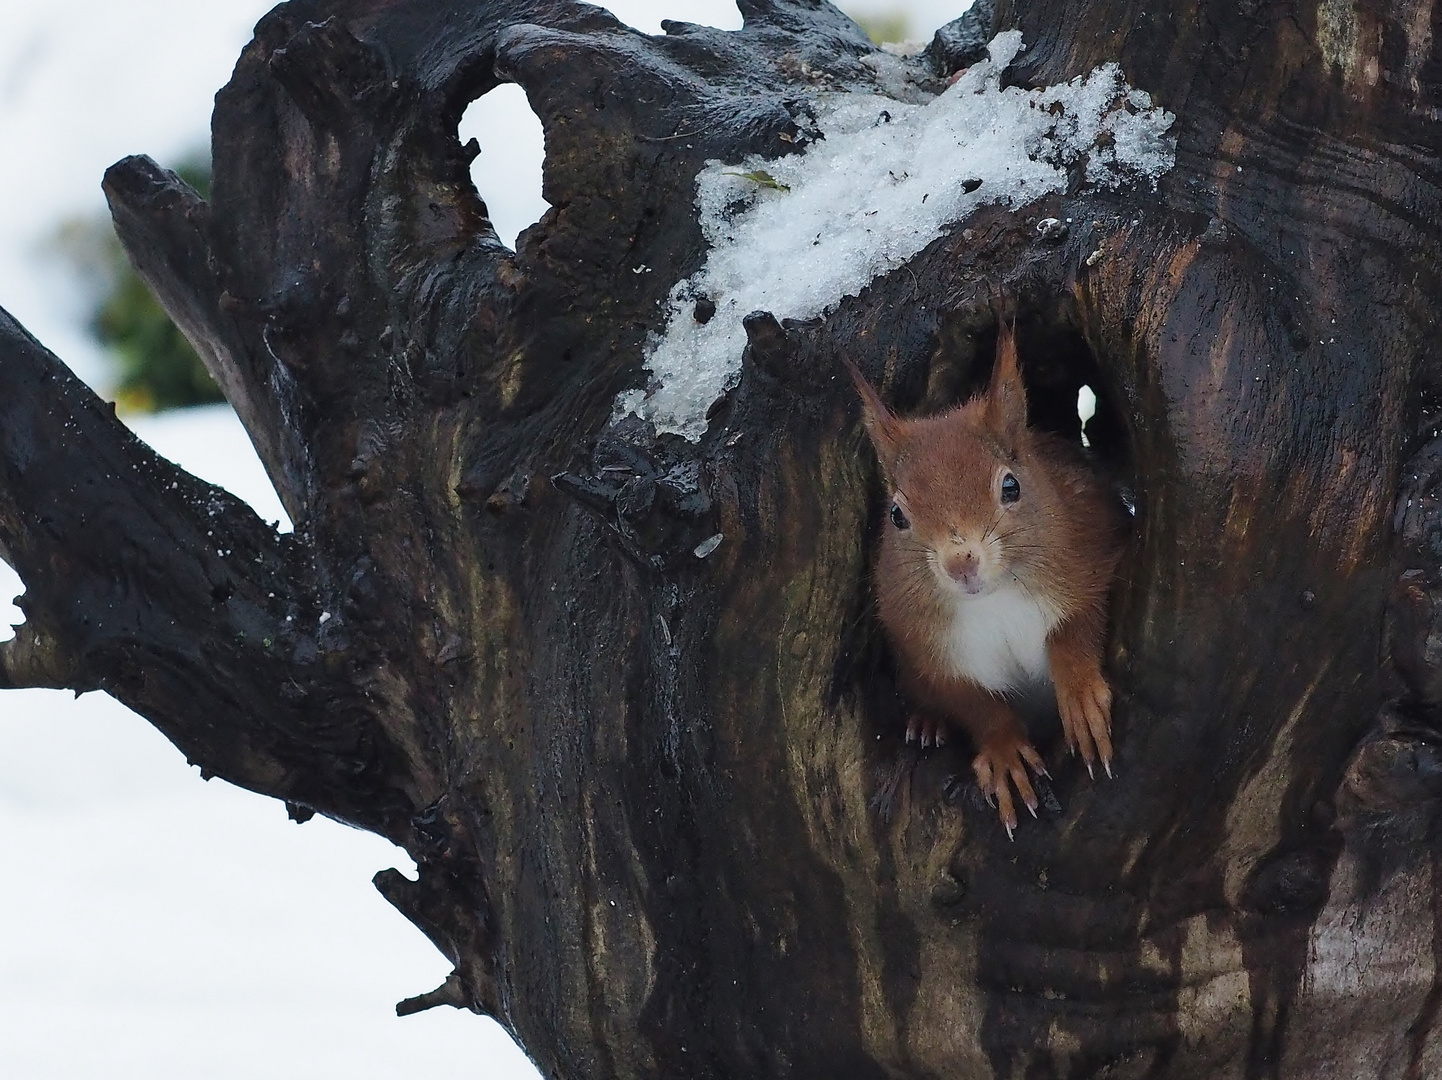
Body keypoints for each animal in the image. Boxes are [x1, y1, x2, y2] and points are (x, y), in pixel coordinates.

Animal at [847, 324, 1118, 836]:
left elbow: (1077, 627)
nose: (961, 563)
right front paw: (1004, 753)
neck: (993, 601)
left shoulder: (1093, 555)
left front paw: (1079, 698)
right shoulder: (927, 650)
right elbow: (974, 703)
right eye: (896, 515)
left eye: (1011, 486)